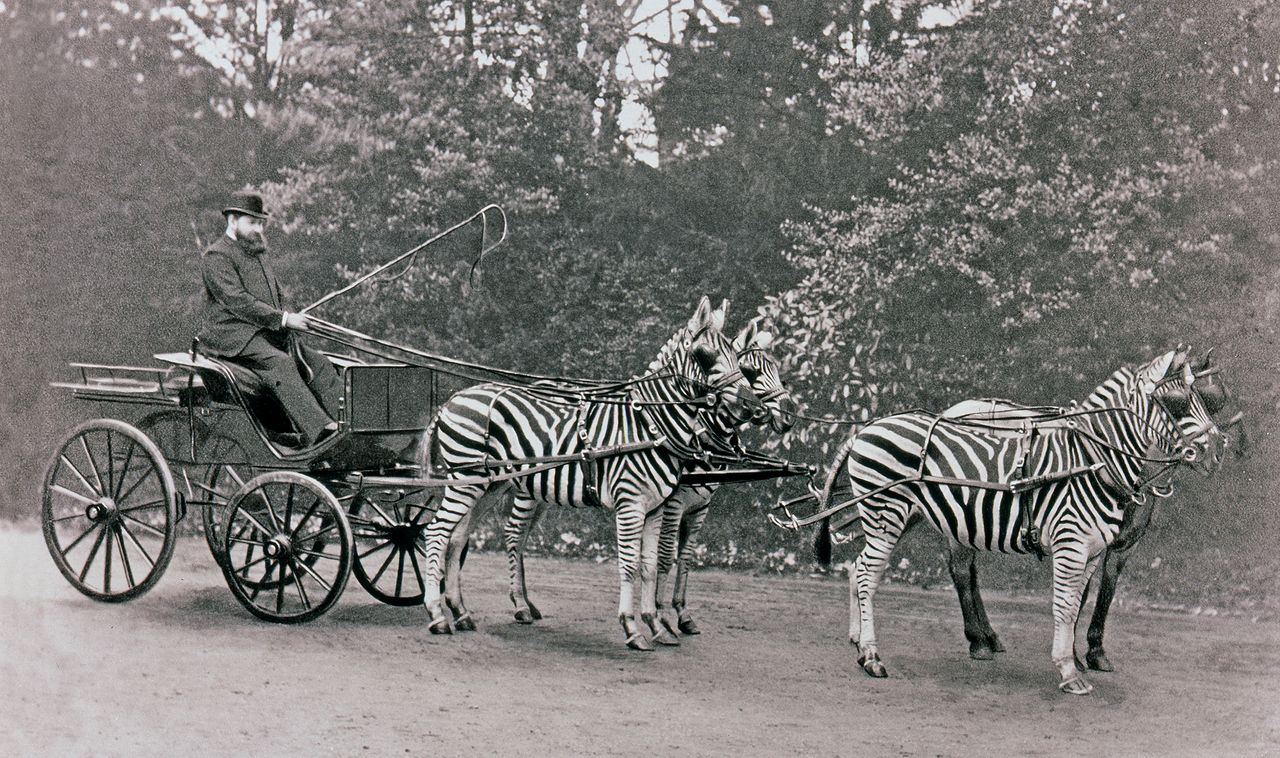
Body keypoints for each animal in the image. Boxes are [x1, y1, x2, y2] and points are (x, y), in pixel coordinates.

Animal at [419, 295, 757, 650]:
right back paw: (438, 615)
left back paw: (461, 612)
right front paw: (632, 628)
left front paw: (657, 626)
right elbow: (629, 564)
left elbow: (650, 566)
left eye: (737, 357)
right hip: (466, 480)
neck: (650, 426)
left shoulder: (657, 508)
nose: (751, 407)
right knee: (437, 532)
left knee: (457, 537)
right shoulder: (631, 504)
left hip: (488, 485)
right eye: (704, 354)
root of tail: (453, 400)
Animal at [814, 348, 1223, 691]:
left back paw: (860, 644)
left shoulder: (1094, 550)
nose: (1217, 451)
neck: (1094, 461)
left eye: (1212, 400)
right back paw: (874, 656)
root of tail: (868, 427)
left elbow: (1078, 603)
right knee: (871, 575)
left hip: (901, 516)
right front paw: (1069, 671)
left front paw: (1075, 660)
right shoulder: (1072, 544)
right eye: (1176, 402)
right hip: (887, 512)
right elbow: (1064, 606)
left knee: (857, 567)